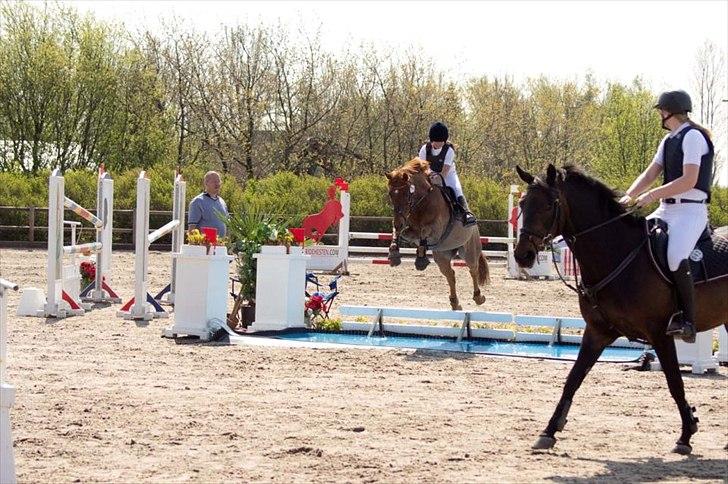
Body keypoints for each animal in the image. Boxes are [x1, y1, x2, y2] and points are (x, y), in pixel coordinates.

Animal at [386, 158, 489, 310]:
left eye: (406, 194)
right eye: (391, 194)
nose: (399, 221)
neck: (422, 203)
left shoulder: (437, 230)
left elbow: (424, 231)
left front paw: (420, 260)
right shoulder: (408, 225)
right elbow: (400, 232)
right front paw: (394, 254)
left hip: (469, 250)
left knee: (473, 269)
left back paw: (478, 297)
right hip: (442, 256)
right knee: (450, 275)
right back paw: (455, 303)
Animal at [514, 163, 728, 455]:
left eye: (549, 205)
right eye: (522, 203)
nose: (522, 255)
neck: (618, 254)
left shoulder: (660, 335)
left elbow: (675, 382)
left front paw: (686, 435)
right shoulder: (597, 332)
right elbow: (573, 379)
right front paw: (548, 432)